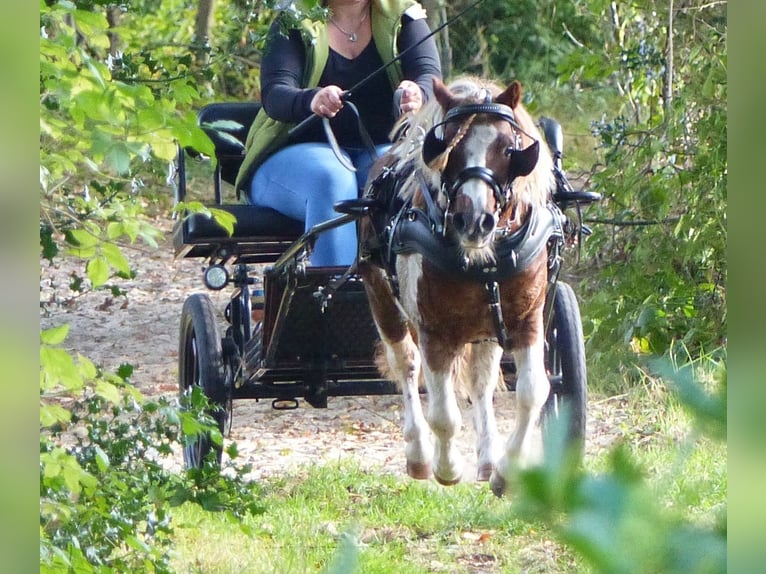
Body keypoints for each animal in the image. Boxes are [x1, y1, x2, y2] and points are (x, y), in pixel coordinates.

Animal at [356, 76, 560, 498]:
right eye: (446, 146)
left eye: (510, 149)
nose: (475, 221)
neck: (484, 257)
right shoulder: (435, 331)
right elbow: (444, 414)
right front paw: (447, 468)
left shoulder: (527, 320)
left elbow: (533, 392)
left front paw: (506, 471)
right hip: (381, 297)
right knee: (407, 366)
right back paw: (420, 455)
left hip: (486, 328)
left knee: (481, 381)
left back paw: (487, 459)